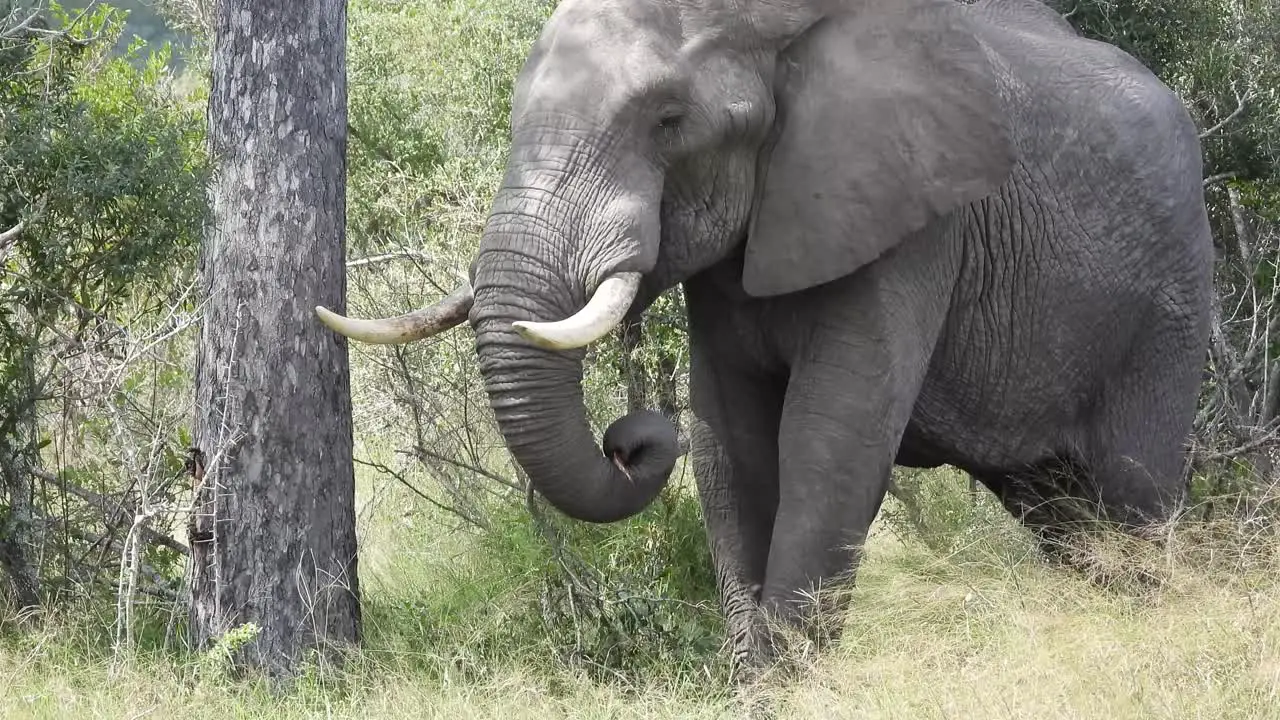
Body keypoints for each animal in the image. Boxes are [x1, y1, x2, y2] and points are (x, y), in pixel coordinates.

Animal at [314, 0, 1213, 666]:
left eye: (668, 120)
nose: (630, 439)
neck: (780, 27)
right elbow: (730, 446)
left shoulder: (910, 220)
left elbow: (828, 446)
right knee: (1065, 517)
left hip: (1168, 306)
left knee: (1134, 497)